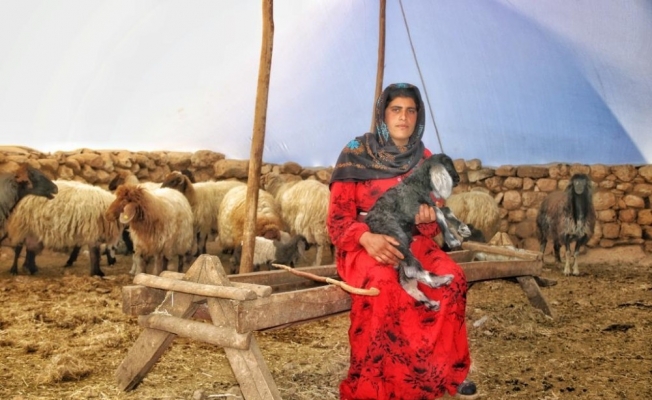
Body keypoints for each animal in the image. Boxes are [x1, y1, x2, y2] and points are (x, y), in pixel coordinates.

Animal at [364, 153, 471, 311]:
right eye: (448, 166)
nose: (457, 179)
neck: (415, 184)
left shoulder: (427, 205)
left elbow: (446, 210)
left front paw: (463, 229)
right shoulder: (416, 208)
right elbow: (440, 212)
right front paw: (452, 240)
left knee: (407, 281)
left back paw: (431, 302)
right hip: (396, 236)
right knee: (411, 269)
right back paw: (440, 281)